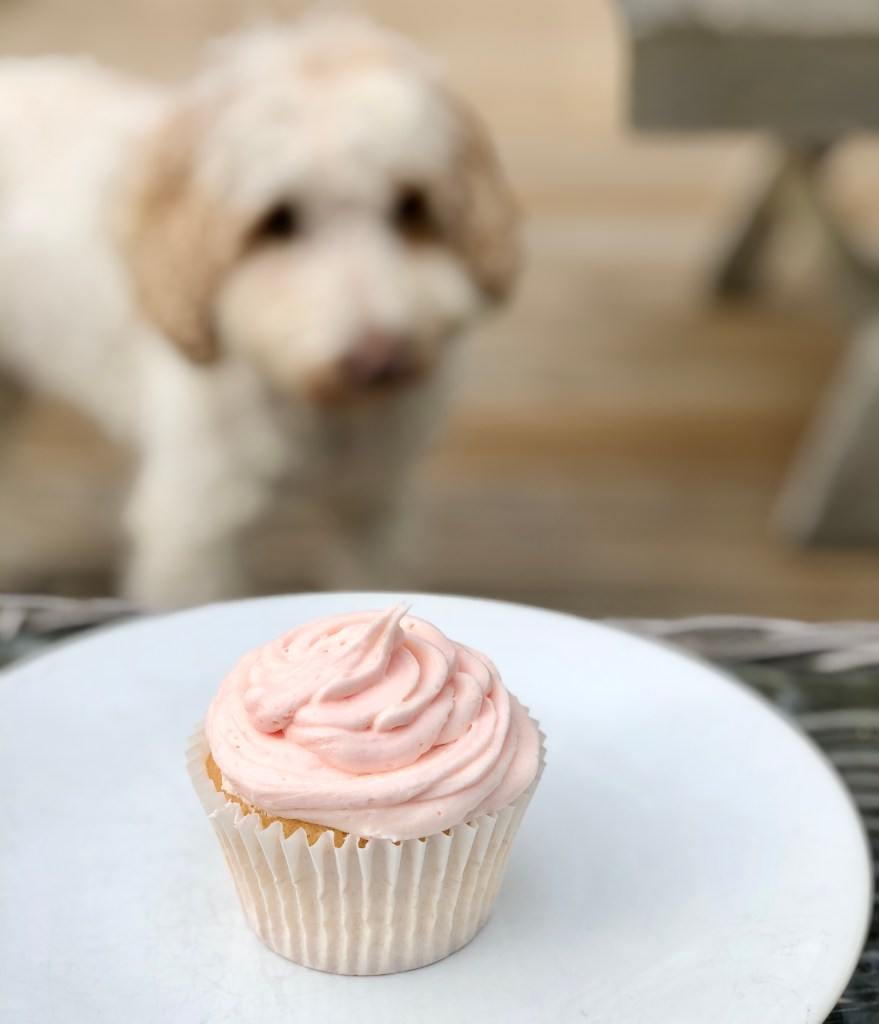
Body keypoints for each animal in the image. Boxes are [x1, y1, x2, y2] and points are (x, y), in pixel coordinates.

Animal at [0, 14, 519, 608]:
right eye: (278, 220)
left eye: (410, 205)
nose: (379, 361)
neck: (320, 409)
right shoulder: (196, 520)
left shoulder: (377, 494)